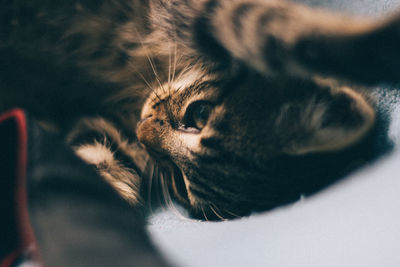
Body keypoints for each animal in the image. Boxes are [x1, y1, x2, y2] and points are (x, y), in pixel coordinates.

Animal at [2, 0, 400, 221]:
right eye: (200, 114)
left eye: (179, 182)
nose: (143, 132)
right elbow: (255, 21)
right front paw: (374, 42)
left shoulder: (112, 133)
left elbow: (97, 167)